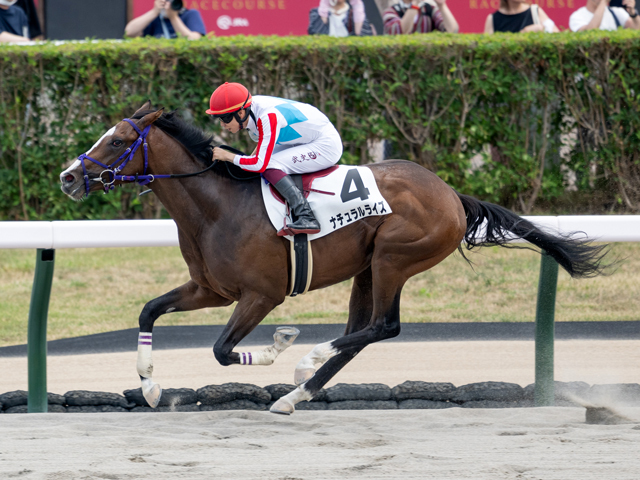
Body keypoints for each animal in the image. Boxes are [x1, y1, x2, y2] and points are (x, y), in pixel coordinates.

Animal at [60, 103, 608, 414]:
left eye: (118, 140)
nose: (68, 177)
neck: (216, 205)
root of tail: (453, 195)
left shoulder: (261, 295)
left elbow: (220, 350)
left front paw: (280, 345)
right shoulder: (210, 290)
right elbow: (148, 310)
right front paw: (151, 389)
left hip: (393, 258)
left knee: (383, 326)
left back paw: (304, 362)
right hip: (366, 269)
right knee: (362, 333)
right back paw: (292, 397)